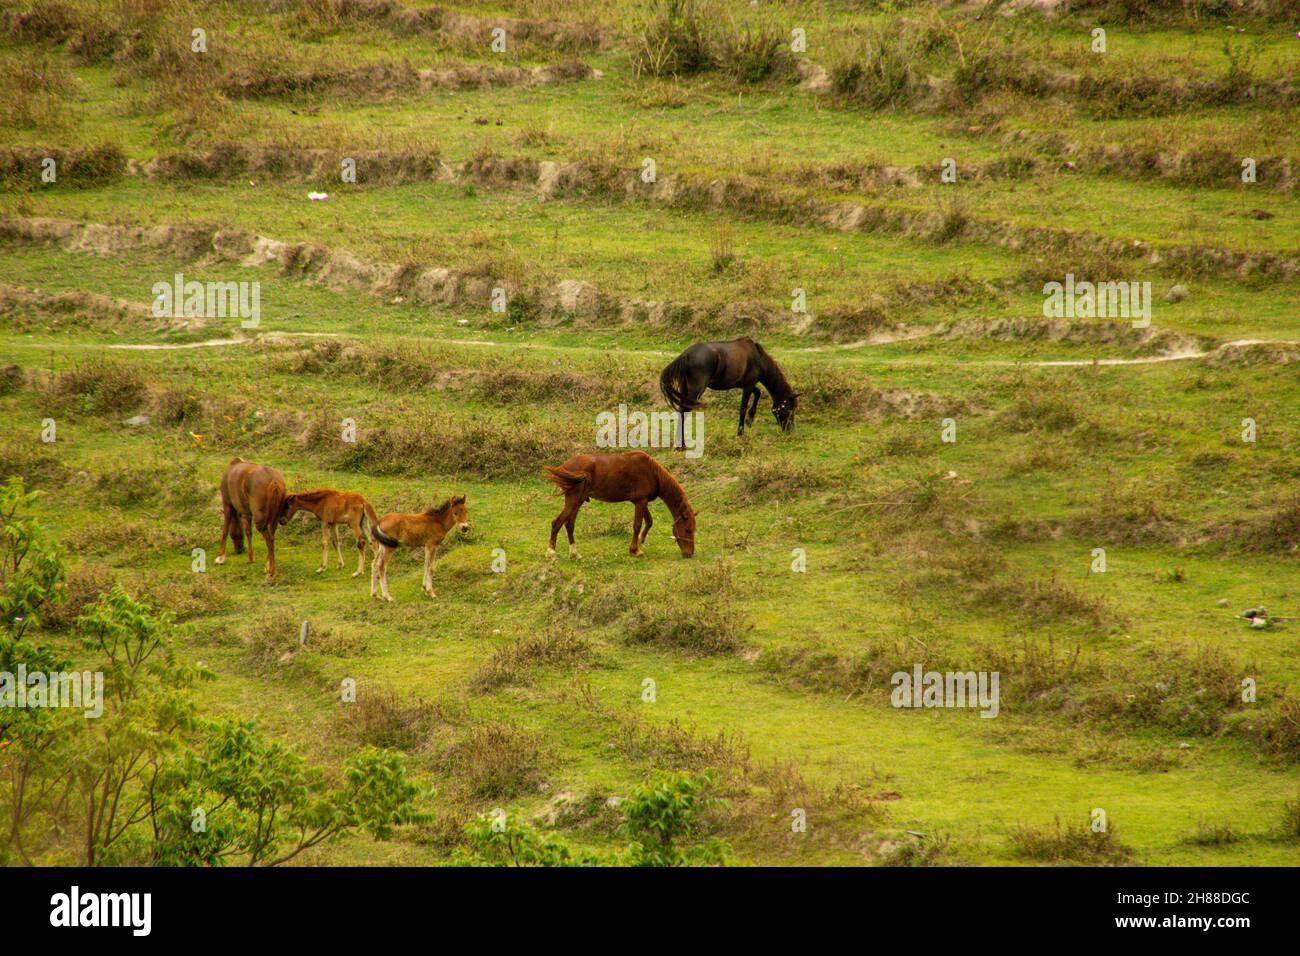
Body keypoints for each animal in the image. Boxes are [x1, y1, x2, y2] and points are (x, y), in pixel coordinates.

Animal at [542, 451, 696, 560]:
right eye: (687, 530)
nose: (690, 554)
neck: (652, 472)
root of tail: (565, 466)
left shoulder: (641, 502)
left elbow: (649, 521)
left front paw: (640, 541)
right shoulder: (640, 502)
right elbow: (637, 525)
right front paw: (635, 550)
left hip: (577, 502)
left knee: (569, 525)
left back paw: (574, 553)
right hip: (573, 502)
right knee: (556, 523)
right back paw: (551, 553)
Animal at [660, 336, 799, 437]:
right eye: (790, 409)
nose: (790, 430)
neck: (759, 358)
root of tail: (685, 355)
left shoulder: (745, 384)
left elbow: (758, 393)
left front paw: (750, 419)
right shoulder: (748, 385)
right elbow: (743, 408)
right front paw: (740, 433)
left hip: (684, 390)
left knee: (681, 411)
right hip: (695, 392)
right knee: (684, 411)